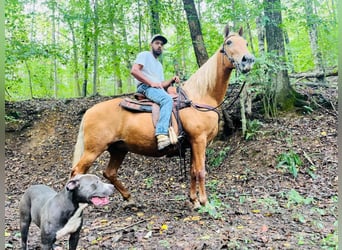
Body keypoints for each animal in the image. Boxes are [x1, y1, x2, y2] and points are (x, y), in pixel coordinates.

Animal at [71, 25, 255, 209]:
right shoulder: (199, 141)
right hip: (93, 150)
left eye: (246, 42)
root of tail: (89, 111)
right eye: (229, 42)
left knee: (109, 172)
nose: (248, 60)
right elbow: (201, 171)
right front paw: (204, 202)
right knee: (77, 172)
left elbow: (193, 171)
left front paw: (194, 200)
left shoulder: (192, 144)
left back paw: (129, 198)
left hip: (118, 149)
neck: (200, 97)